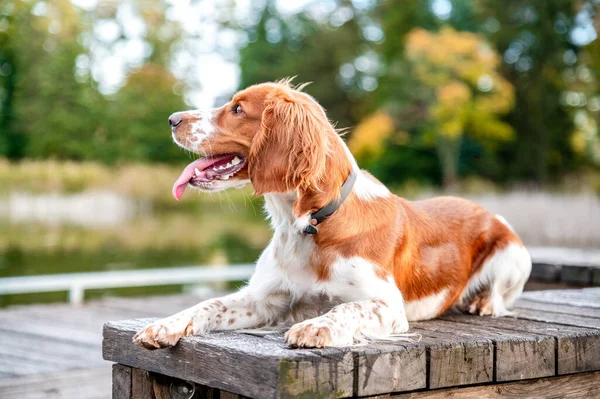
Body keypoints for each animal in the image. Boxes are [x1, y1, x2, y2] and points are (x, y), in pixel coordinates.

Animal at [134, 79, 532, 348]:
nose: (172, 118)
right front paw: (165, 324)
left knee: (500, 296)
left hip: (514, 256)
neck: (308, 223)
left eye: (237, 109)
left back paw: (481, 302)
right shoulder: (264, 298)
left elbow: (344, 309)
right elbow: (209, 304)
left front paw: (314, 327)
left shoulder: (388, 306)